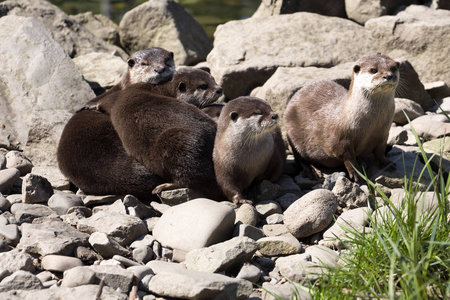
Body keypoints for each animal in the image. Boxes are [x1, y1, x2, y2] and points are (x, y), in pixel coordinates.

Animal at [58, 67, 223, 202]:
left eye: (213, 79)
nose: (220, 89)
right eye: (203, 86)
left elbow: (106, 101)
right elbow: (105, 102)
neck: (158, 88)